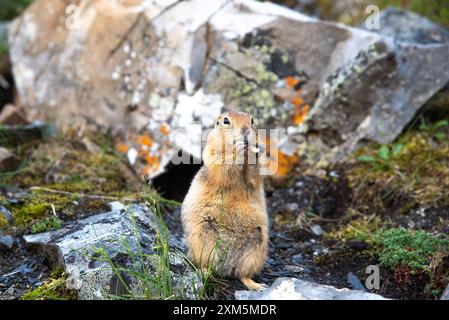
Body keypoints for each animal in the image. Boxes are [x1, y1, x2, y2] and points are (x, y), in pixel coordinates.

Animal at [180, 111, 268, 292]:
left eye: (252, 120)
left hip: (257, 245)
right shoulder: (213, 153)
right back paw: (205, 272)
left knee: (242, 274)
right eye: (226, 121)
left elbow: (253, 175)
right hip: (203, 240)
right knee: (207, 265)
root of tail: (226, 267)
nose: (246, 131)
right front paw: (239, 151)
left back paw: (257, 286)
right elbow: (223, 167)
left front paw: (256, 149)